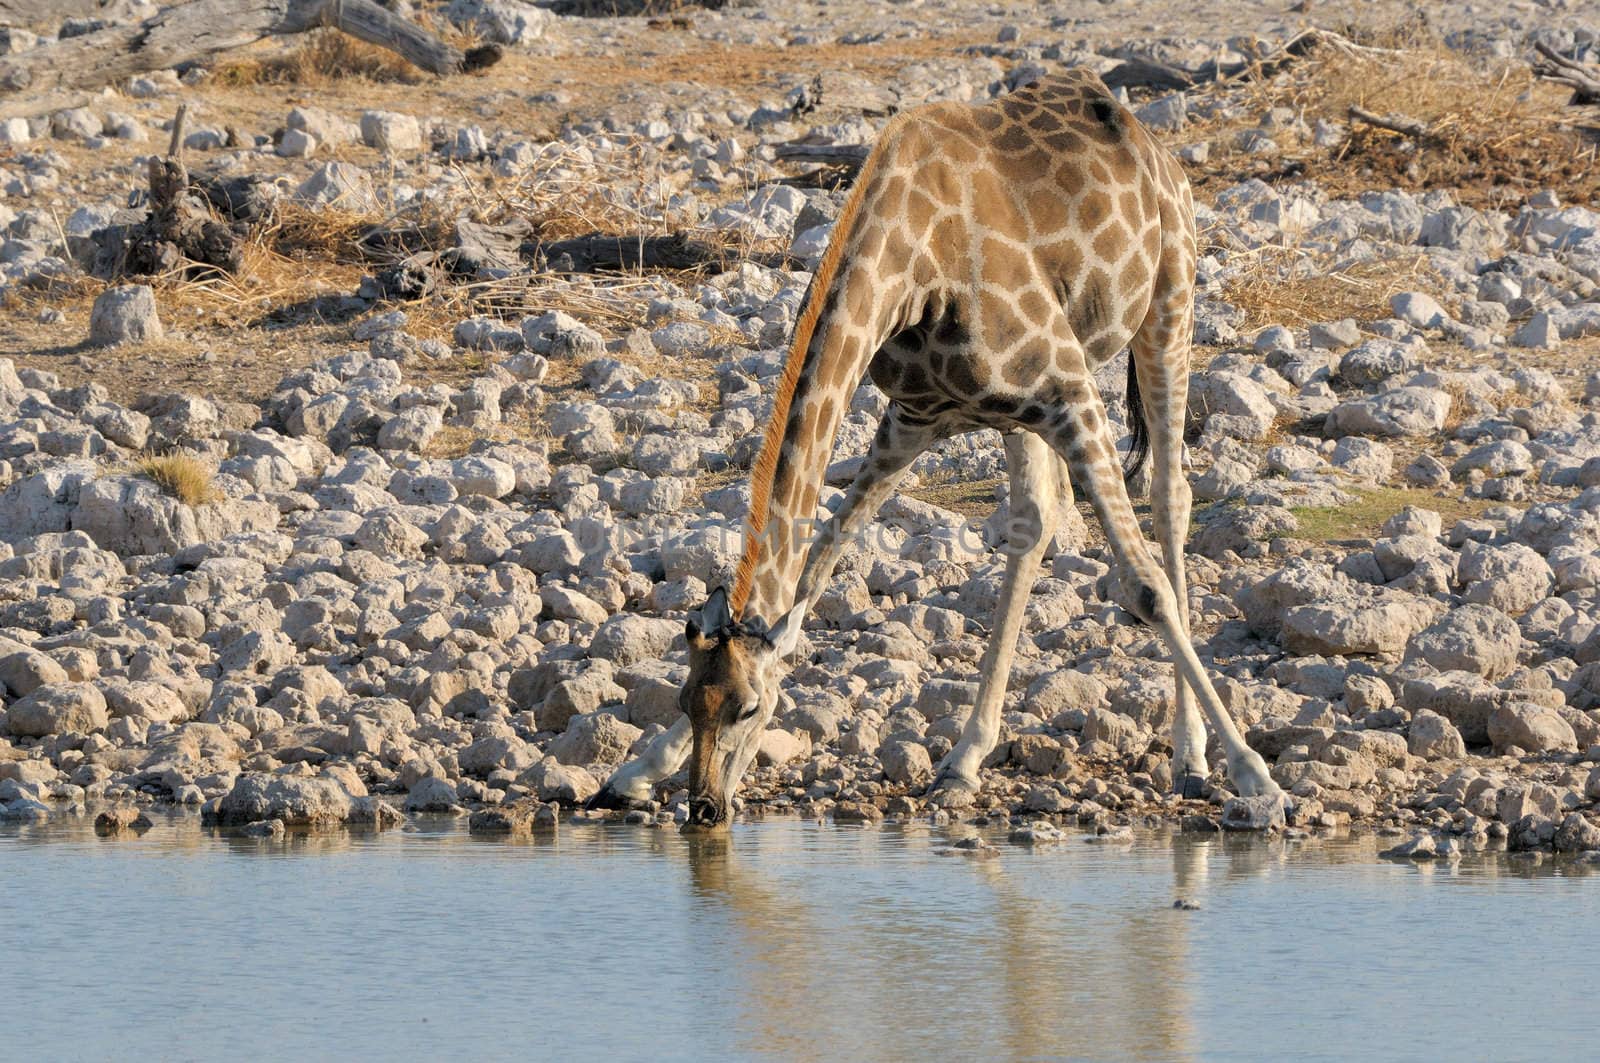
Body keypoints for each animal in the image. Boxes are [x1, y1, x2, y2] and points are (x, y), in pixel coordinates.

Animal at [595, 70, 1292, 826]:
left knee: (1170, 495)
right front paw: (637, 769)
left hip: (1169, 303)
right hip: (1023, 412)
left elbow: (1146, 589)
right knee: (1038, 517)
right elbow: (814, 573)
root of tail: (1153, 145)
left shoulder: (1069, 385)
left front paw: (1258, 778)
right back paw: (965, 758)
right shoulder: (913, 419)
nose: (705, 808)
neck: (911, 270)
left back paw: (1192, 754)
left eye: (749, 708)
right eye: (687, 700)